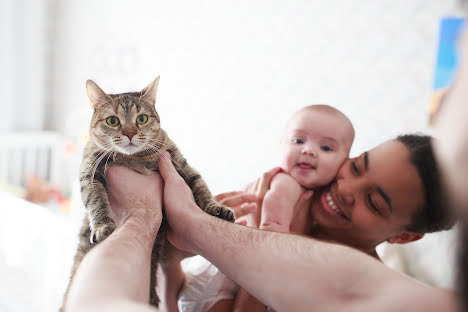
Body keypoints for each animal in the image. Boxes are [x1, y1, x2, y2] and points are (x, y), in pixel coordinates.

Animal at [62, 77, 236, 308]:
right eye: (113, 121)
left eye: (142, 119)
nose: (129, 133)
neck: (133, 158)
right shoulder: (90, 170)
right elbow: (95, 198)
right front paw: (102, 226)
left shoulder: (181, 165)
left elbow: (201, 186)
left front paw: (215, 207)